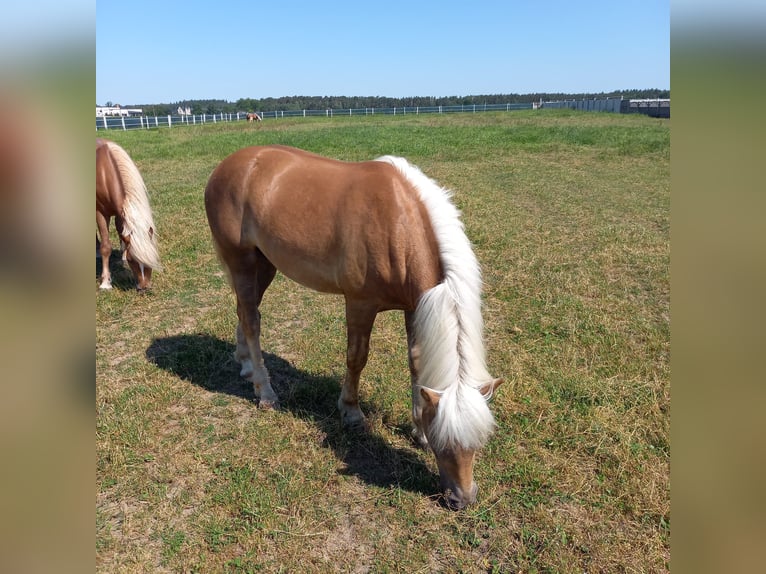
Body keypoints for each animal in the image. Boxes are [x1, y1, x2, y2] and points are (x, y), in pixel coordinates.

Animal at [96, 138, 161, 290]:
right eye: (132, 260)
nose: (144, 287)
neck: (105, 173)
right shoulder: (100, 213)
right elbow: (105, 246)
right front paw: (105, 283)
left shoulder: (121, 213)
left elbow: (123, 232)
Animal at [204, 145, 502, 509]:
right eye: (443, 442)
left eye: (479, 441)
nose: (463, 498)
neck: (399, 223)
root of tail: (230, 165)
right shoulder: (360, 304)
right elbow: (357, 358)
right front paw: (351, 412)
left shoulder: (414, 306)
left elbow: (416, 363)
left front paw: (416, 428)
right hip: (242, 261)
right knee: (251, 320)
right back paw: (266, 392)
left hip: (265, 263)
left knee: (244, 311)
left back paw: (246, 365)